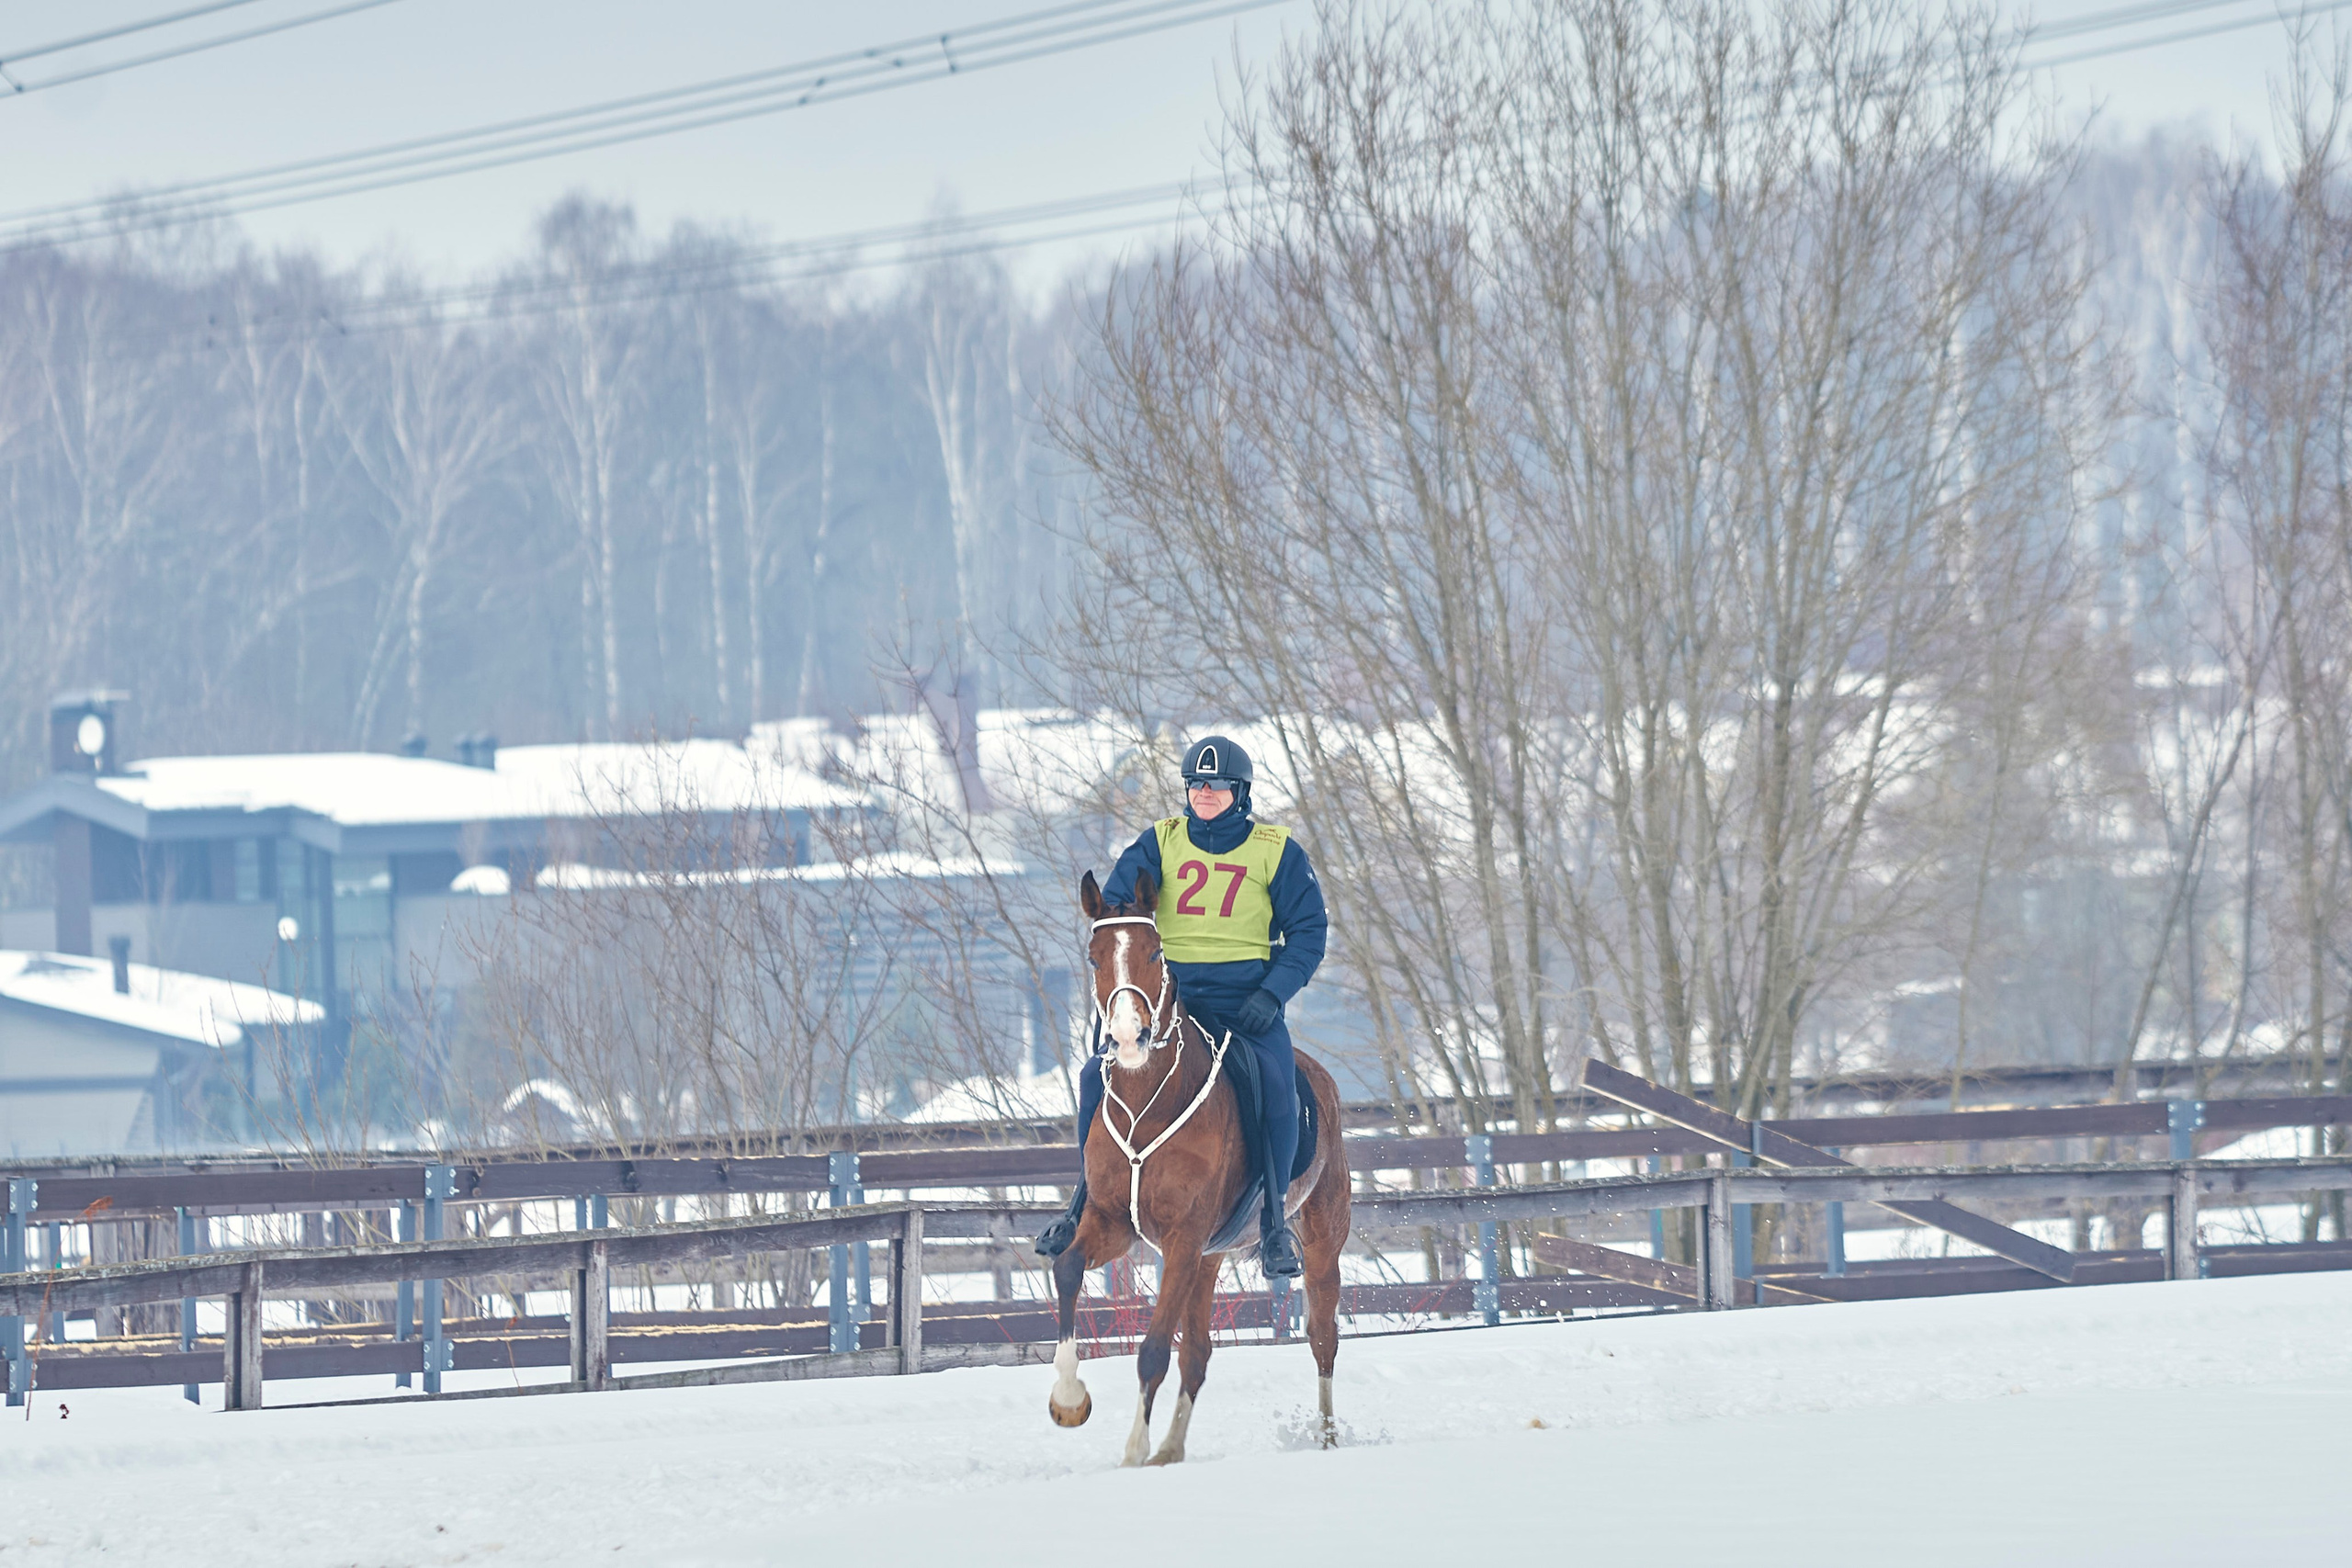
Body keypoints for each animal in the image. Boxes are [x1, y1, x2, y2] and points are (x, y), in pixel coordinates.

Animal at [1044, 867, 1352, 1465]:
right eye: (1094, 957)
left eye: (1155, 950)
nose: (1128, 1036)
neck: (1147, 1102)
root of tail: (1320, 1079)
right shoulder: (1114, 1224)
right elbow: (1067, 1269)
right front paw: (1069, 1399)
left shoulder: (1183, 1237)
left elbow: (1154, 1349)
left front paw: (1133, 1451)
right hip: (1210, 1256)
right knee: (1200, 1354)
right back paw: (1171, 1448)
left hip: (1319, 1242)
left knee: (1322, 1338)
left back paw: (1327, 1438)